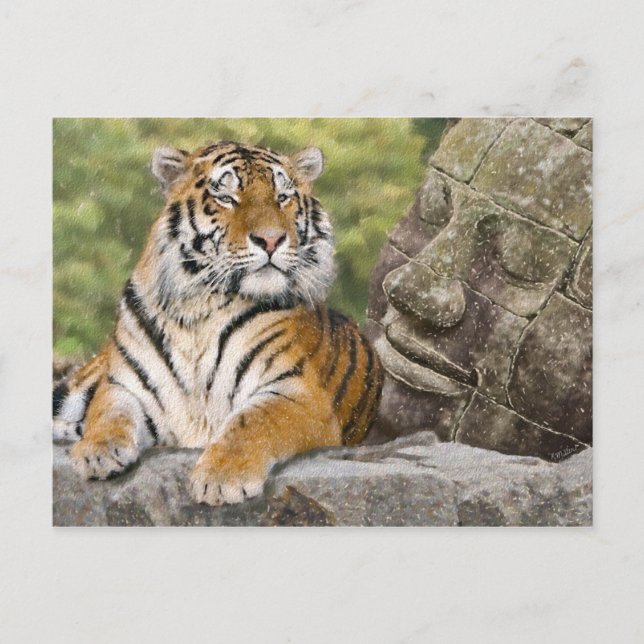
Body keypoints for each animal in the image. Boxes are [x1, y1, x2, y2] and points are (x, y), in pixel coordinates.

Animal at [53, 140, 383, 506]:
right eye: (226, 197)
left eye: (283, 197)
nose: (271, 240)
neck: (198, 309)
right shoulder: (124, 385)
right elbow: (108, 413)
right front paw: (96, 451)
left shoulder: (298, 393)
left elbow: (252, 421)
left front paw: (222, 478)